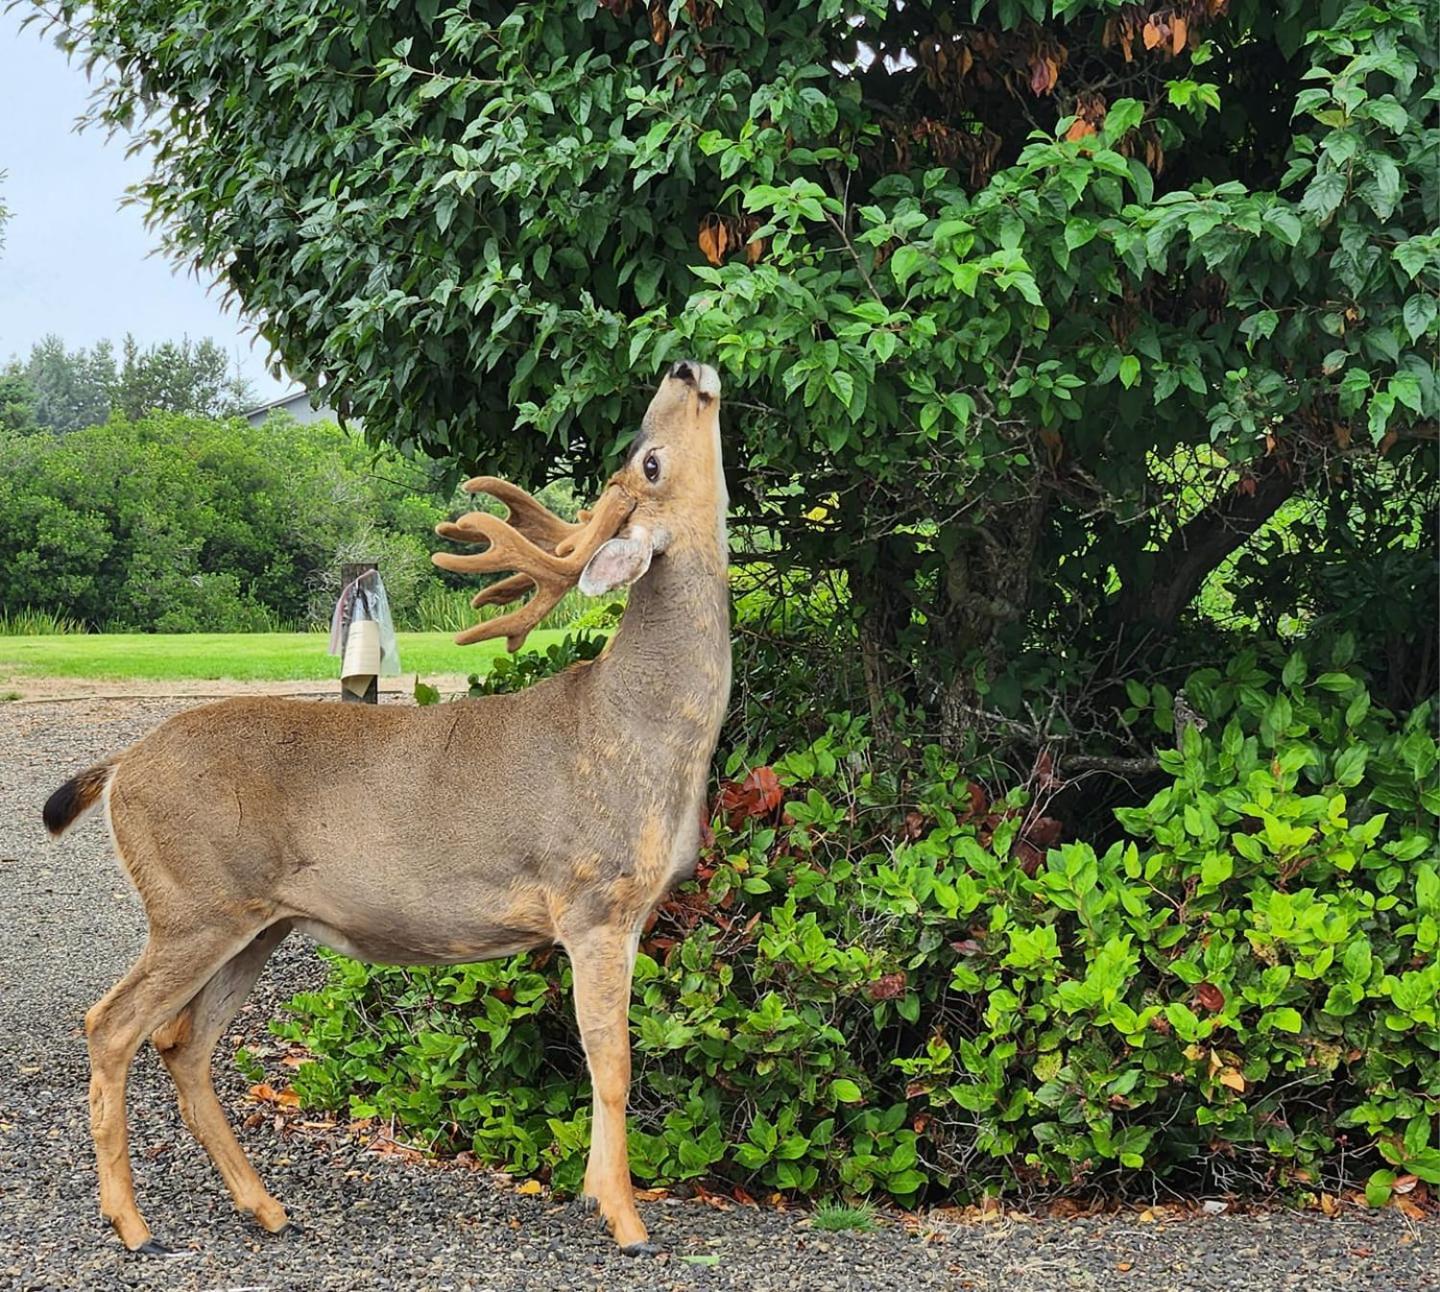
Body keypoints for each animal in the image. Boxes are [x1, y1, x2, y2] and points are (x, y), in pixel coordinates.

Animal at [42, 357, 731, 1255]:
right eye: (650, 461)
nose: (685, 366)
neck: (642, 724)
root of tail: (121, 767)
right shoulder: (592, 898)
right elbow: (610, 1064)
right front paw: (624, 1217)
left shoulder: (630, 911)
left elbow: (604, 1059)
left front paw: (591, 1194)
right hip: (193, 901)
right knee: (112, 1025)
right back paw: (132, 1224)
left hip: (255, 921)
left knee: (183, 1043)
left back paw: (265, 1208)